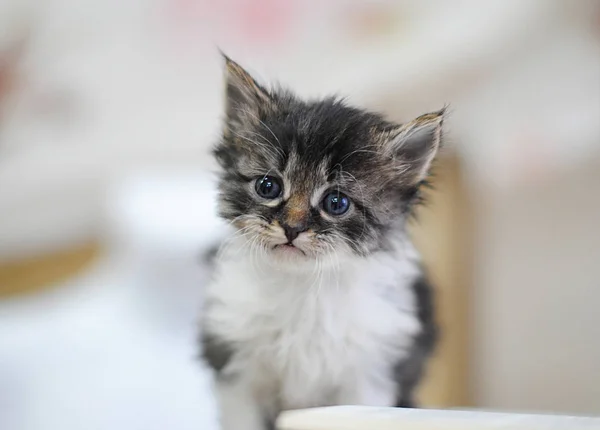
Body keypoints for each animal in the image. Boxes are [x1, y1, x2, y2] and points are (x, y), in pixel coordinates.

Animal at [202, 57, 440, 430]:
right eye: (268, 186)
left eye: (336, 203)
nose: (291, 227)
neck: (303, 288)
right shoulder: (235, 368)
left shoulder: (370, 377)